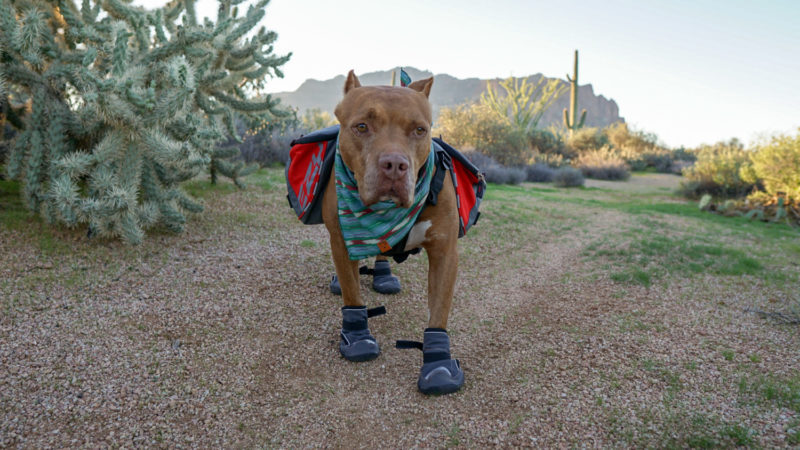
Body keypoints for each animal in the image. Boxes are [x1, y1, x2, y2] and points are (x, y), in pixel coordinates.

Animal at [322, 70, 466, 394]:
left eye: (419, 130)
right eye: (362, 126)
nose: (395, 164)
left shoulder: (445, 252)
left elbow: (439, 309)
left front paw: (438, 363)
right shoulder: (341, 238)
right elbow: (352, 292)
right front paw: (357, 337)